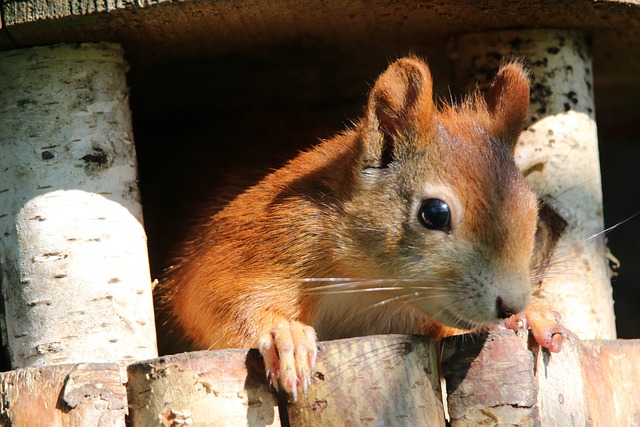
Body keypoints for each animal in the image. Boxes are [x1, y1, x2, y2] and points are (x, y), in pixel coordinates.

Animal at [158, 56, 568, 402]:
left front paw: (534, 315)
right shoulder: (257, 241)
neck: (369, 289)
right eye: (435, 214)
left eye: (532, 213)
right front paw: (284, 335)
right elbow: (210, 299)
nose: (511, 304)